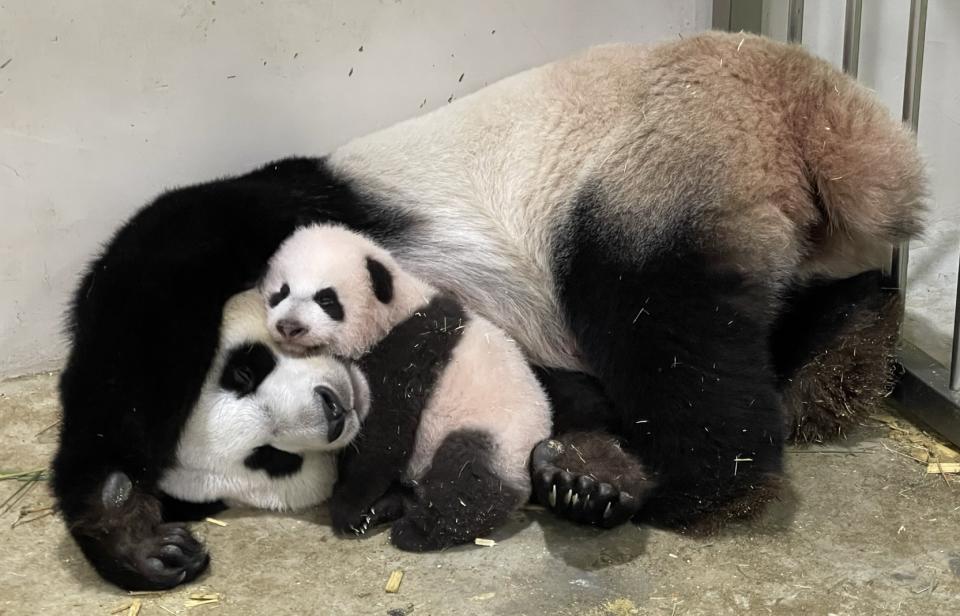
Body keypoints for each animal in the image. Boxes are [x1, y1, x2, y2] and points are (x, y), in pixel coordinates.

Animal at [52, 31, 924, 588]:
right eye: (272, 460)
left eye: (251, 367)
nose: (329, 407)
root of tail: (812, 105)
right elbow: (551, 388)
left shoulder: (291, 222)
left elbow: (144, 288)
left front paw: (120, 521)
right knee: (763, 315)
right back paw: (845, 353)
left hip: (662, 158)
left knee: (657, 320)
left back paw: (685, 479)